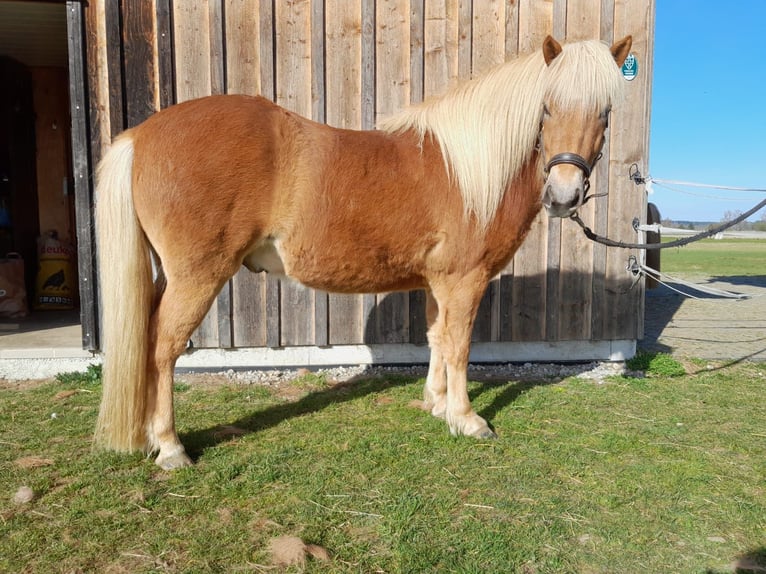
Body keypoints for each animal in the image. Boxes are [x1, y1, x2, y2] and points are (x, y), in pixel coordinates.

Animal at [94, 35, 632, 469]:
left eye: (605, 113)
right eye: (547, 107)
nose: (563, 196)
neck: (469, 168)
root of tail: (140, 135)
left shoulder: (437, 282)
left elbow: (437, 340)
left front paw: (436, 404)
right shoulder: (464, 279)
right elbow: (459, 346)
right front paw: (466, 419)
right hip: (197, 277)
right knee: (164, 348)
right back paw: (170, 447)